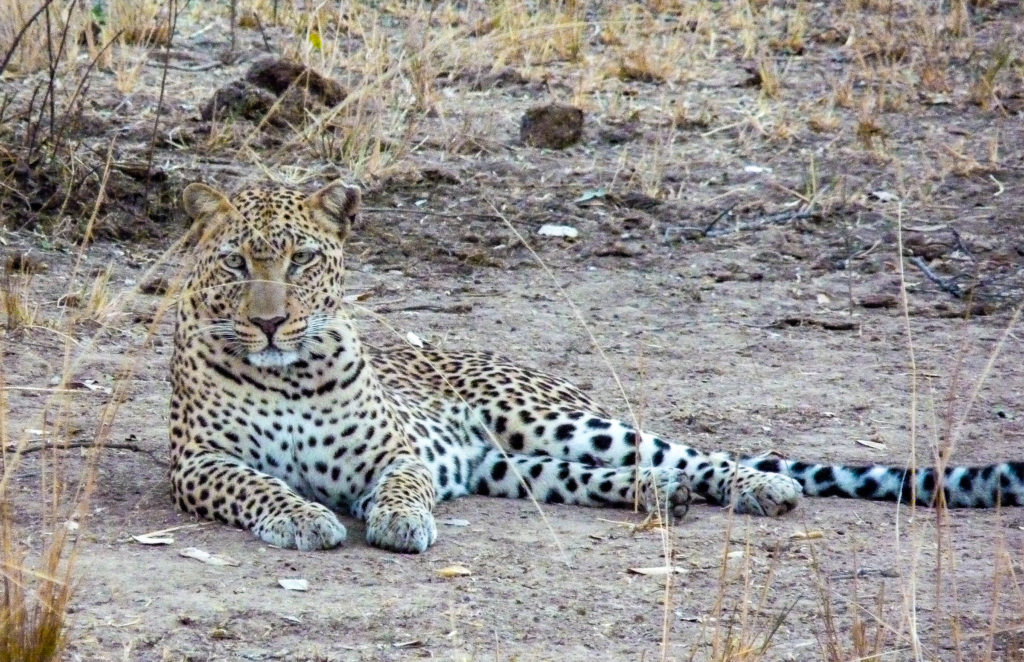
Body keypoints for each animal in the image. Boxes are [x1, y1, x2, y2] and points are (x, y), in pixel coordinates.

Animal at [170, 180, 1024, 553]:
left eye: (303, 259)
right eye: (238, 263)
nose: (269, 320)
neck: (287, 371)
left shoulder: (396, 450)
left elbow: (404, 482)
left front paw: (400, 519)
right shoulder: (198, 466)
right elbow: (256, 484)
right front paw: (303, 516)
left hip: (551, 417)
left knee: (688, 451)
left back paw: (756, 487)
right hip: (507, 465)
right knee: (592, 477)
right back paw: (663, 495)